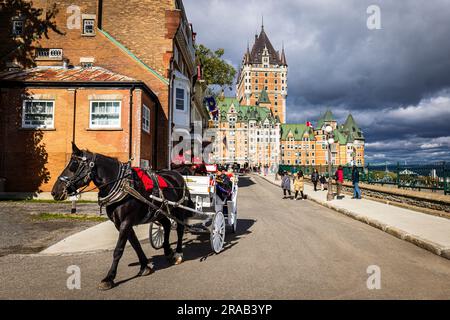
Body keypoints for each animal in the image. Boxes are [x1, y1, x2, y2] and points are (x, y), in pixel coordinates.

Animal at [51, 144, 195, 292]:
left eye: (74, 164)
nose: (55, 191)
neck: (124, 186)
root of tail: (178, 174)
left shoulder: (126, 222)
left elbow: (118, 250)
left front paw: (109, 278)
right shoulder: (120, 223)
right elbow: (136, 244)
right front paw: (144, 266)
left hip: (178, 209)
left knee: (180, 229)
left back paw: (178, 253)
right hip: (159, 211)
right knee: (166, 225)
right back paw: (167, 251)